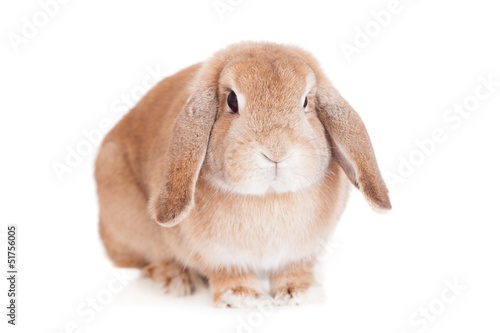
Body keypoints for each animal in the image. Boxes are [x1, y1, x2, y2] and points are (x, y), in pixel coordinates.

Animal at [94, 40, 390, 306]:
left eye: (306, 101)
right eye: (232, 100)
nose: (276, 151)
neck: (268, 196)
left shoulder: (302, 252)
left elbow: (295, 270)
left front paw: (299, 293)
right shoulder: (217, 256)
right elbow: (228, 273)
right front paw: (244, 298)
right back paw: (177, 280)